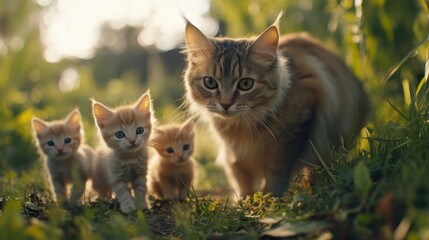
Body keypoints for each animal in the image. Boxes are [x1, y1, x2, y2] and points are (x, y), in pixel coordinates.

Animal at [182, 15, 370, 199]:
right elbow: (240, 178)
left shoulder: (292, 136)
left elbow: (276, 173)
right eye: (210, 83)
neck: (241, 127)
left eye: (245, 84)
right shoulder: (233, 154)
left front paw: (269, 198)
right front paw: (245, 200)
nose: (226, 104)